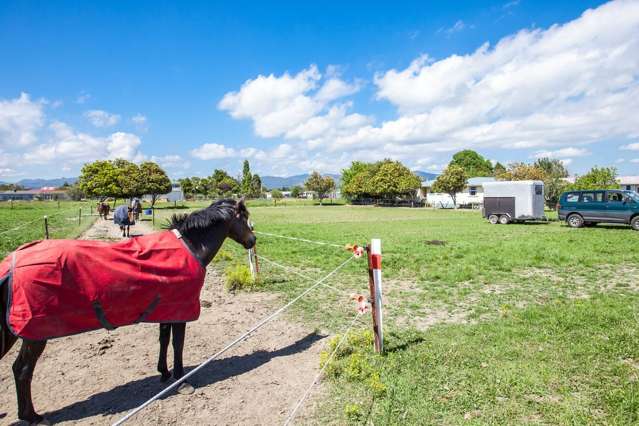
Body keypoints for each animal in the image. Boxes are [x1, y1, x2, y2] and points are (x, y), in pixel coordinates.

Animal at [0, 198, 255, 424]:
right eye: (245, 218)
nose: (253, 240)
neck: (190, 247)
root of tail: (12, 263)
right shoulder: (181, 310)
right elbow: (177, 344)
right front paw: (181, 380)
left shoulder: (166, 309)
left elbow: (164, 340)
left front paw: (164, 373)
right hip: (35, 334)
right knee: (22, 370)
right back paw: (33, 417)